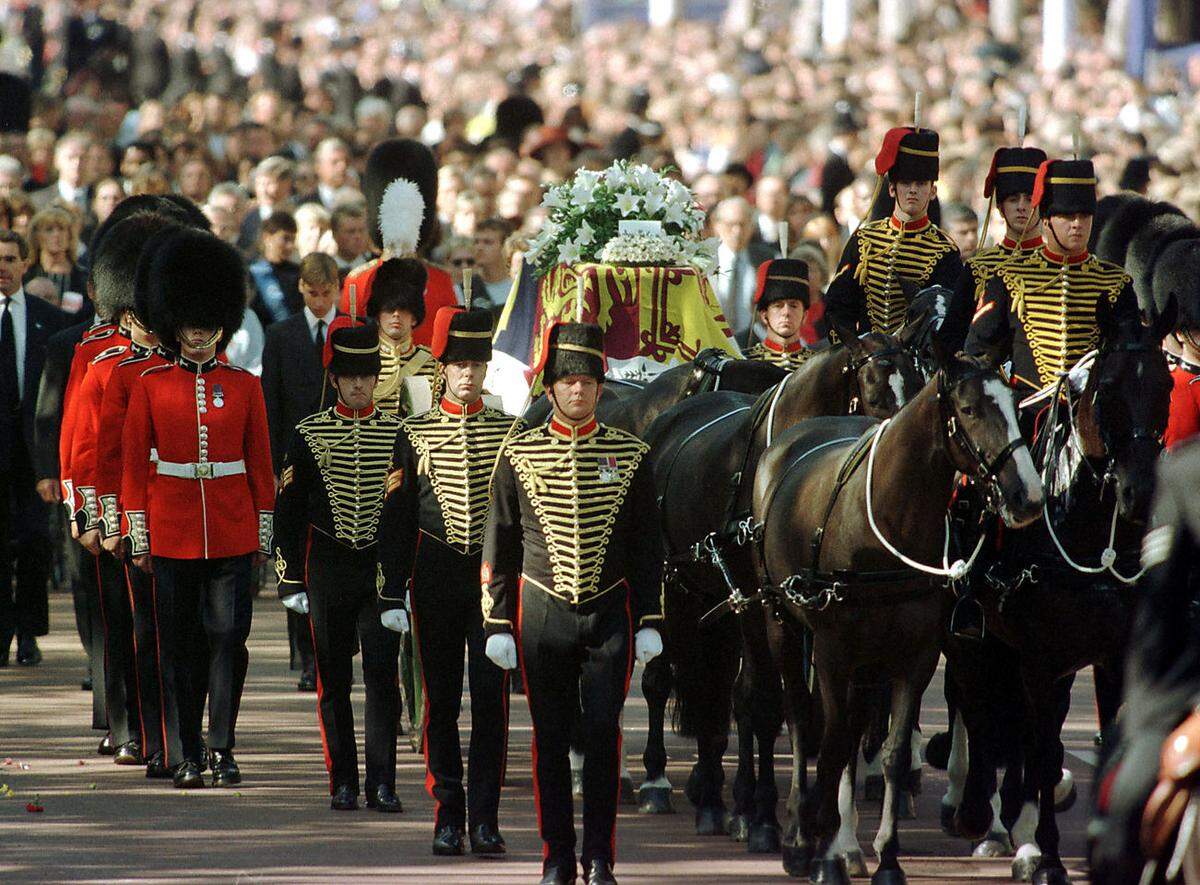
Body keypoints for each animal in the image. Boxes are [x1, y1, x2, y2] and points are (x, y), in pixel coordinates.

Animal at [643, 328, 921, 844]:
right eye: (874, 393)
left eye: (917, 384)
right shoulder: (757, 603)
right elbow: (763, 700)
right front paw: (762, 815)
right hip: (680, 590)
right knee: (677, 680)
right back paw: (677, 787)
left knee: (712, 686)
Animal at [753, 345, 1046, 882]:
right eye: (969, 409)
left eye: (1016, 406)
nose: (1028, 497)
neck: (889, 523)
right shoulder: (833, 653)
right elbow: (833, 742)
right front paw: (823, 848)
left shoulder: (916, 656)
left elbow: (889, 751)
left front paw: (886, 856)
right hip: (779, 622)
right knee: (803, 719)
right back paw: (802, 832)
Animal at [945, 306, 1171, 877]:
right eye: (1107, 388)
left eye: (1164, 385)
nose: (1139, 493)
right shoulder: (1039, 655)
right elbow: (1041, 749)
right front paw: (1047, 855)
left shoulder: (1111, 656)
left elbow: (1105, 745)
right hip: (972, 637)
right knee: (976, 705)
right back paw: (979, 813)